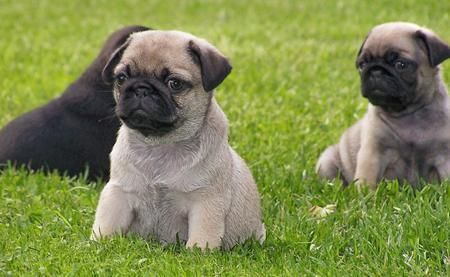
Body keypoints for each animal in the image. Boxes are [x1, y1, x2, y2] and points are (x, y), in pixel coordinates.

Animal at [92, 29, 266, 249]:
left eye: (174, 83)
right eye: (122, 78)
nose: (141, 88)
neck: (159, 145)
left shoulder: (206, 201)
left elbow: (203, 235)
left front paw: (197, 253)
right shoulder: (119, 192)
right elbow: (106, 223)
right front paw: (98, 244)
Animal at [316, 22, 450, 189]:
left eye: (400, 64)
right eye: (362, 65)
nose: (376, 71)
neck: (408, 113)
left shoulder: (444, 157)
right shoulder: (373, 153)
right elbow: (367, 180)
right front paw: (364, 195)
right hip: (327, 161)